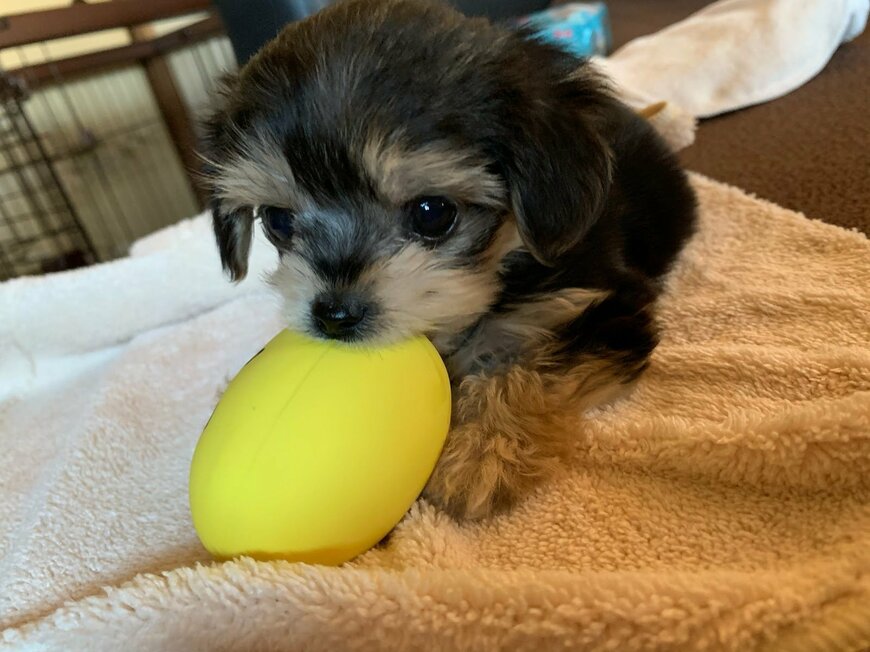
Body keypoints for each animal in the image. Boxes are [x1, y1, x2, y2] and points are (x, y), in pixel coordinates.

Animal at [201, 0, 700, 520]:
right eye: (278, 221)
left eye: (433, 213)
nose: (334, 315)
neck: (508, 259)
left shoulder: (602, 301)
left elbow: (533, 365)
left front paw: (483, 451)